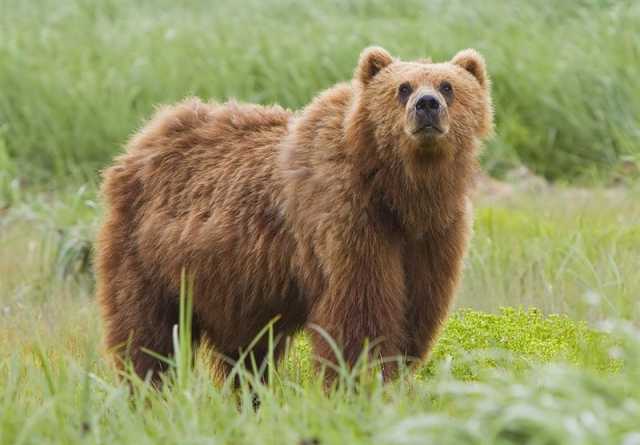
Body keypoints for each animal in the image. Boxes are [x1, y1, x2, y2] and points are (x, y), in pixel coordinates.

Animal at [96, 46, 496, 386]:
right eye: (403, 87)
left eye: (448, 86)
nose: (427, 105)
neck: (400, 193)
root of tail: (144, 136)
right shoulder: (348, 219)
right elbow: (359, 316)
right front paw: (359, 382)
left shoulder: (434, 236)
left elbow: (415, 312)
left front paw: (394, 375)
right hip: (148, 255)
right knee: (147, 335)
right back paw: (147, 390)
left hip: (234, 286)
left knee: (246, 354)